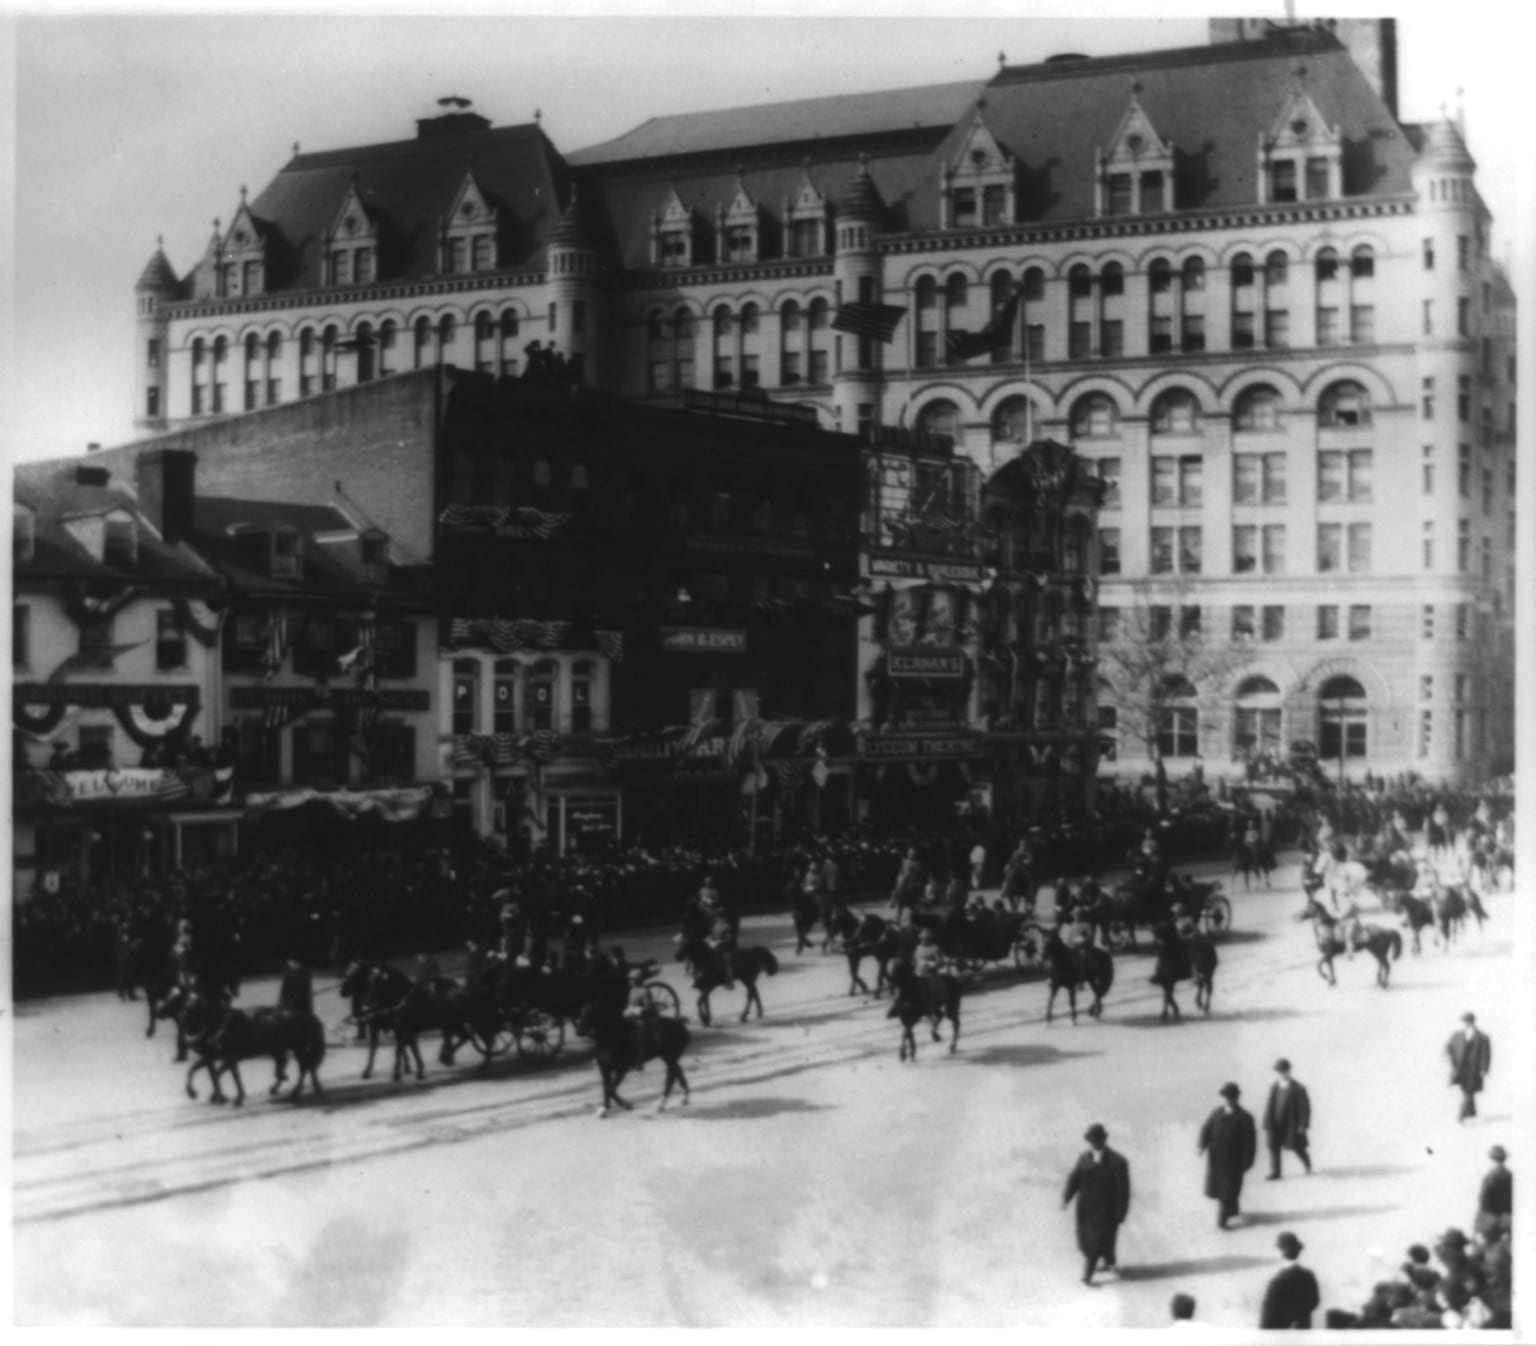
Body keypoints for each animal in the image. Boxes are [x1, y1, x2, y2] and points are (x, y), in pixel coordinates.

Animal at [177, 989, 327, 1106]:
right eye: (185, 1009)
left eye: (191, 1010)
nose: (185, 1033)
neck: (223, 1023)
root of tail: (308, 1016)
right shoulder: (222, 1057)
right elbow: (205, 1072)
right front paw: (211, 1095)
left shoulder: (228, 1057)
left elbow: (229, 1077)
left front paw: (234, 1098)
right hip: (290, 1049)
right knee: (304, 1065)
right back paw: (306, 1087)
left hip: (298, 1048)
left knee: (304, 1067)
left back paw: (296, 1091)